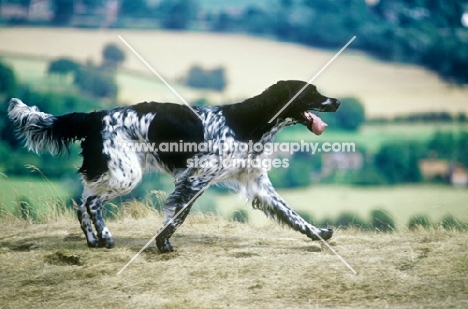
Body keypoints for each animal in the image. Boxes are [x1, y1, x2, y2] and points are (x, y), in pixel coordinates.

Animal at [8, 80, 340, 251]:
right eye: (311, 92)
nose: (336, 101)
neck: (247, 123)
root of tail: (95, 116)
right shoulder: (196, 179)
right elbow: (178, 215)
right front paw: (162, 242)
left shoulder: (257, 182)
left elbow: (293, 215)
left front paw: (319, 233)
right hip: (127, 175)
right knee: (91, 203)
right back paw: (105, 237)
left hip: (112, 172)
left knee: (81, 203)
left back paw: (93, 240)